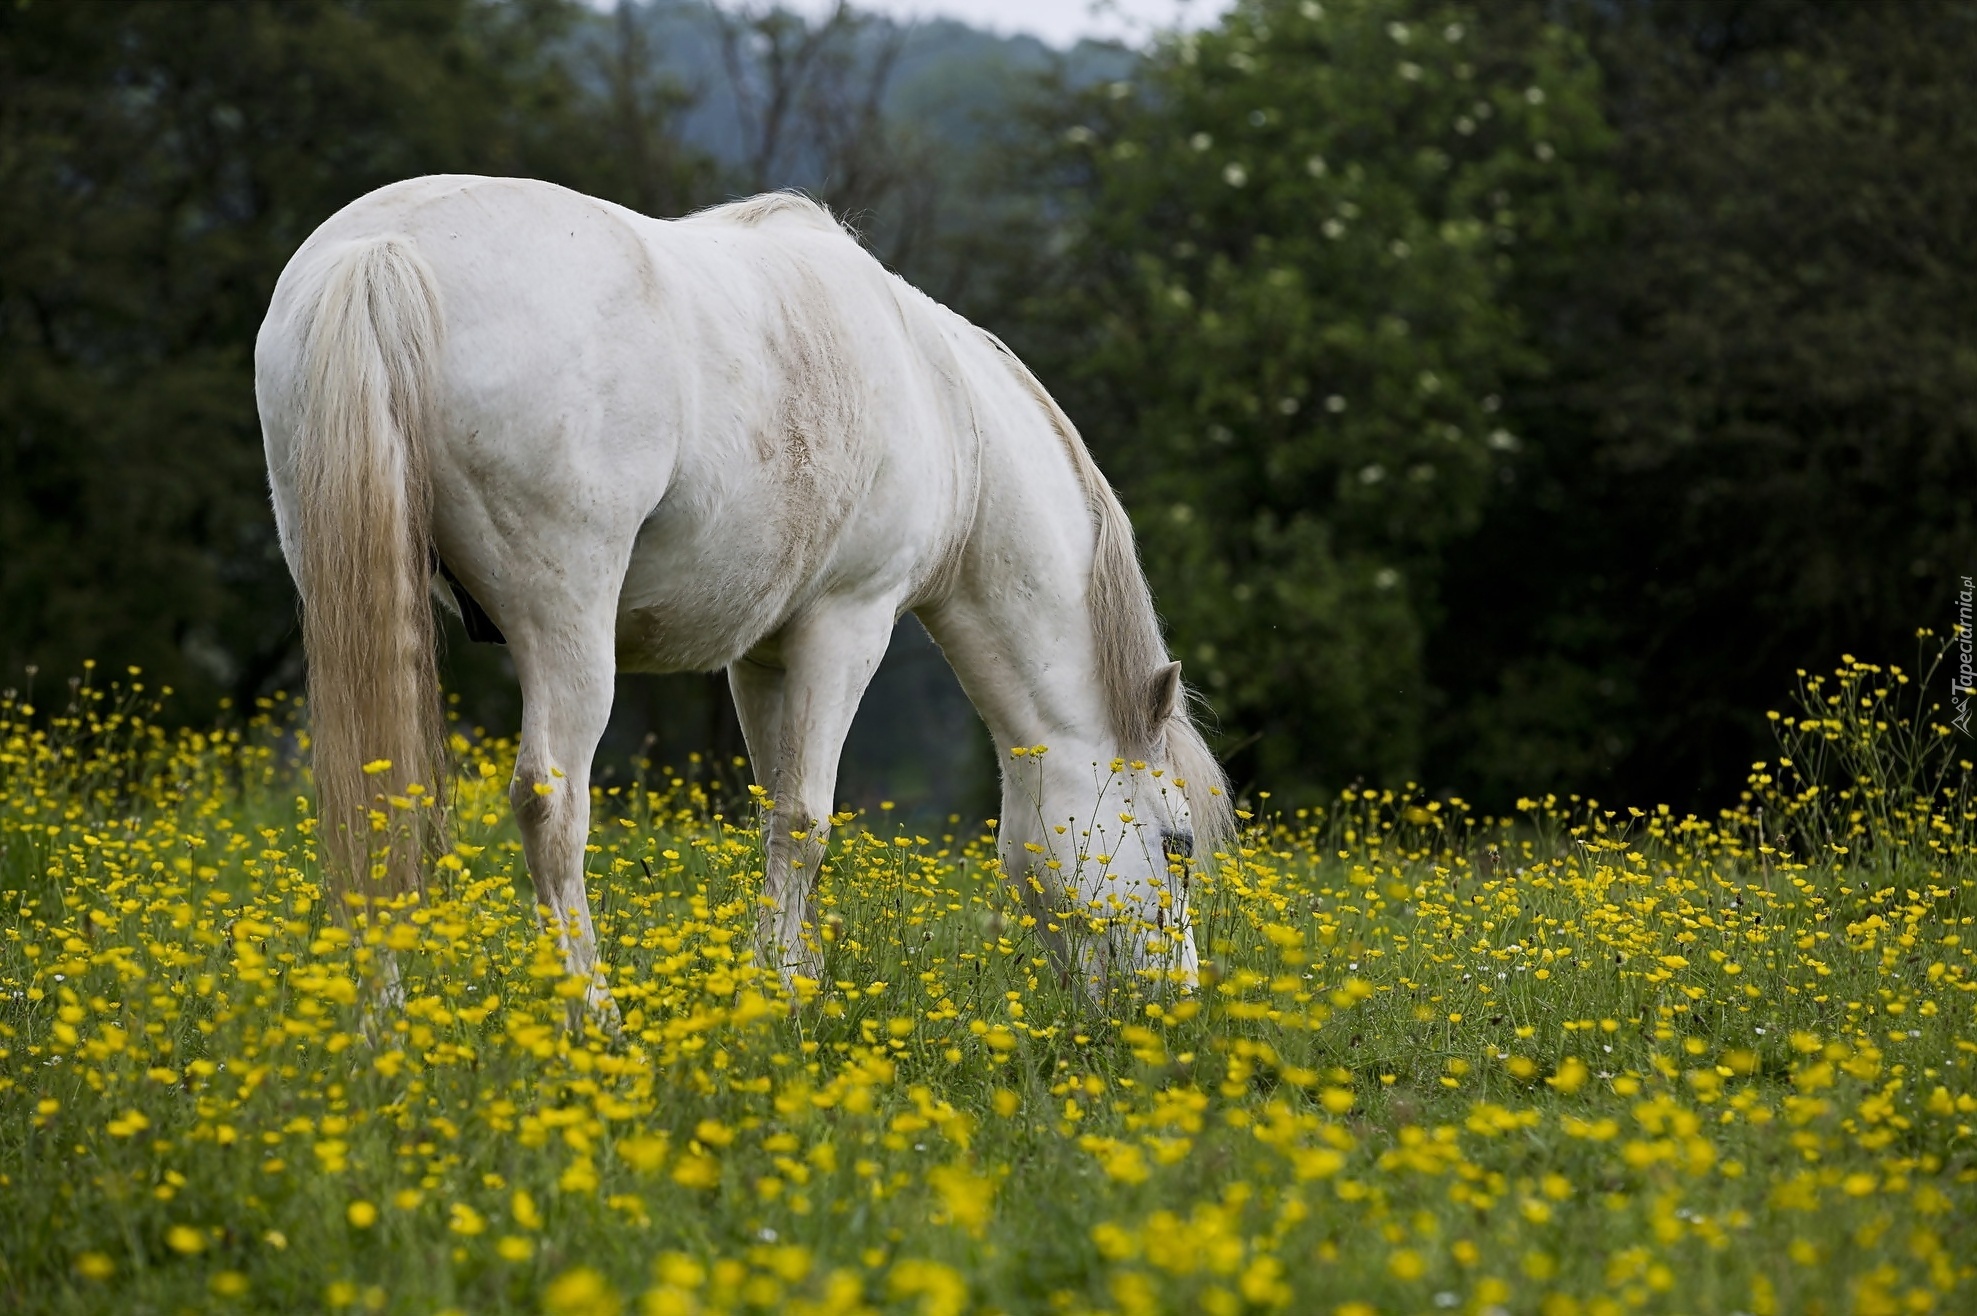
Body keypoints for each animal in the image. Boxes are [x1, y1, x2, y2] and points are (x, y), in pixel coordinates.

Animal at [255, 173, 1225, 1003]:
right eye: (1175, 844)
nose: (1175, 999)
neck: (942, 401)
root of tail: (383, 249)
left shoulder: (762, 654)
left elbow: (770, 815)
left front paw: (793, 980)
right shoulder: (847, 625)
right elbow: (806, 820)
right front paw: (779, 994)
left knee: (373, 801)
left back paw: (381, 1026)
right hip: (565, 627)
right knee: (550, 806)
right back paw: (592, 1021)